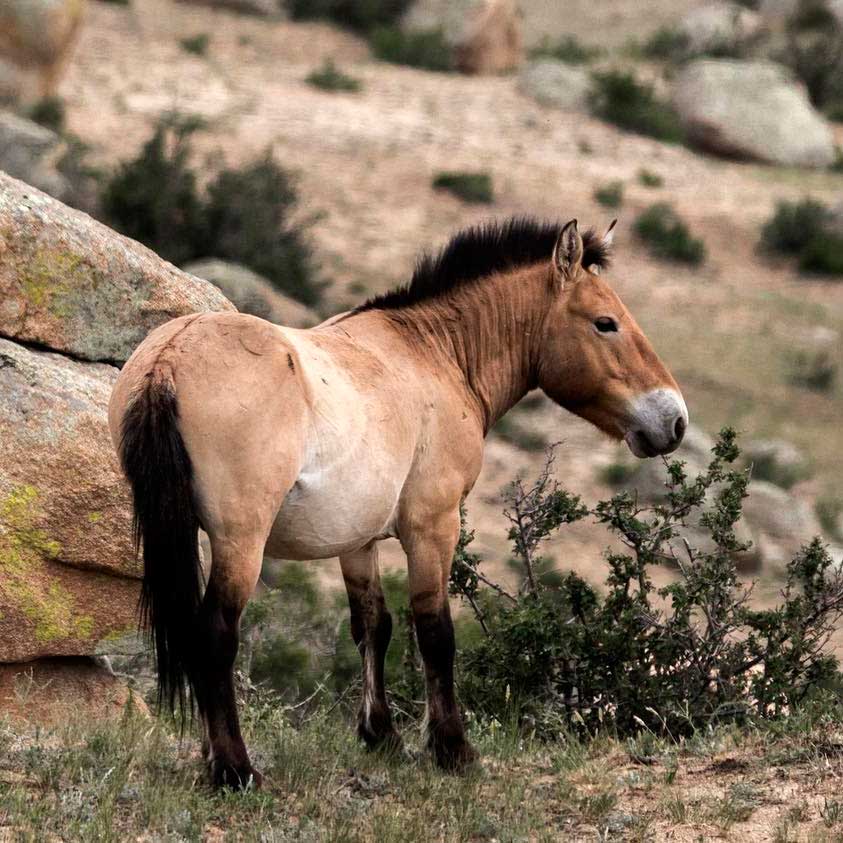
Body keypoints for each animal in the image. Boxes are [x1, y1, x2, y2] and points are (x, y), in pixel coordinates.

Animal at [109, 218, 688, 792]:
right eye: (605, 323)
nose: (674, 420)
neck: (435, 353)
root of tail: (169, 358)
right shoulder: (432, 527)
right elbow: (434, 631)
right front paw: (453, 748)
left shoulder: (356, 541)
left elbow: (373, 627)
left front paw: (381, 736)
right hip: (240, 541)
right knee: (215, 634)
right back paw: (235, 770)